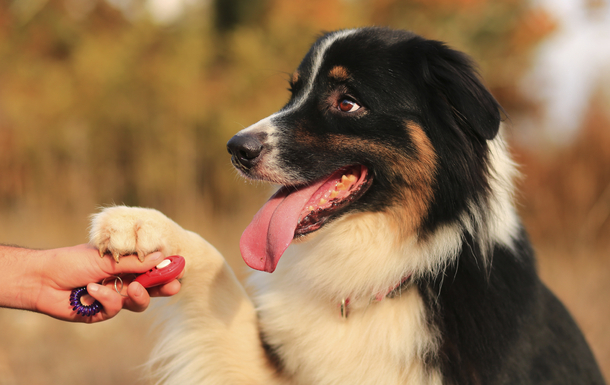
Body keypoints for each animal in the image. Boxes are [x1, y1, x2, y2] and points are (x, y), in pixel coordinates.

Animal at [89, 27, 604, 384]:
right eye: (293, 92)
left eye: (348, 102)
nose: (236, 148)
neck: (377, 277)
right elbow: (217, 270)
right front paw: (137, 224)